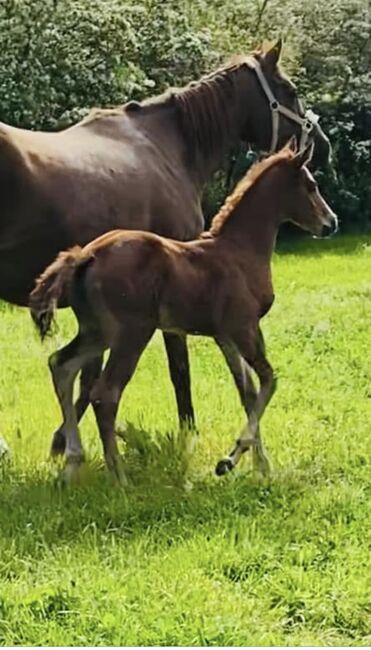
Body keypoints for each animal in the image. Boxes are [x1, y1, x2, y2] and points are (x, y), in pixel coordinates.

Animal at [0, 39, 332, 450]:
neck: (170, 147)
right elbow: (178, 367)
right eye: (290, 90)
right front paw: (188, 431)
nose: (323, 146)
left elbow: (87, 376)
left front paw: (64, 441)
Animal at [29, 143, 338, 480]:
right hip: (132, 333)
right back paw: (119, 476)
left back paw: (71, 464)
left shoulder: (224, 336)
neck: (239, 251)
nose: (331, 222)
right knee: (105, 393)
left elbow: (248, 391)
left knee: (61, 365)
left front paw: (261, 466)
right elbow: (269, 381)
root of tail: (87, 255)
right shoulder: (245, 327)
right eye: (311, 185)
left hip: (97, 332)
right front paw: (230, 459)